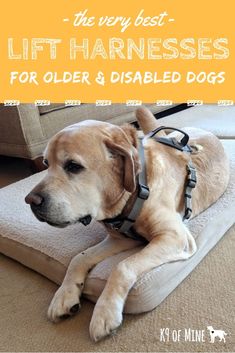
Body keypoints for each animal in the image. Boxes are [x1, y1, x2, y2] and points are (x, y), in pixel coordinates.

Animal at [24, 107, 229, 340]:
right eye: (46, 164)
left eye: (73, 166)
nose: (30, 201)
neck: (139, 186)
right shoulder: (120, 239)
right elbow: (79, 258)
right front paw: (64, 295)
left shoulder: (175, 237)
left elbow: (123, 266)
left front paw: (105, 312)